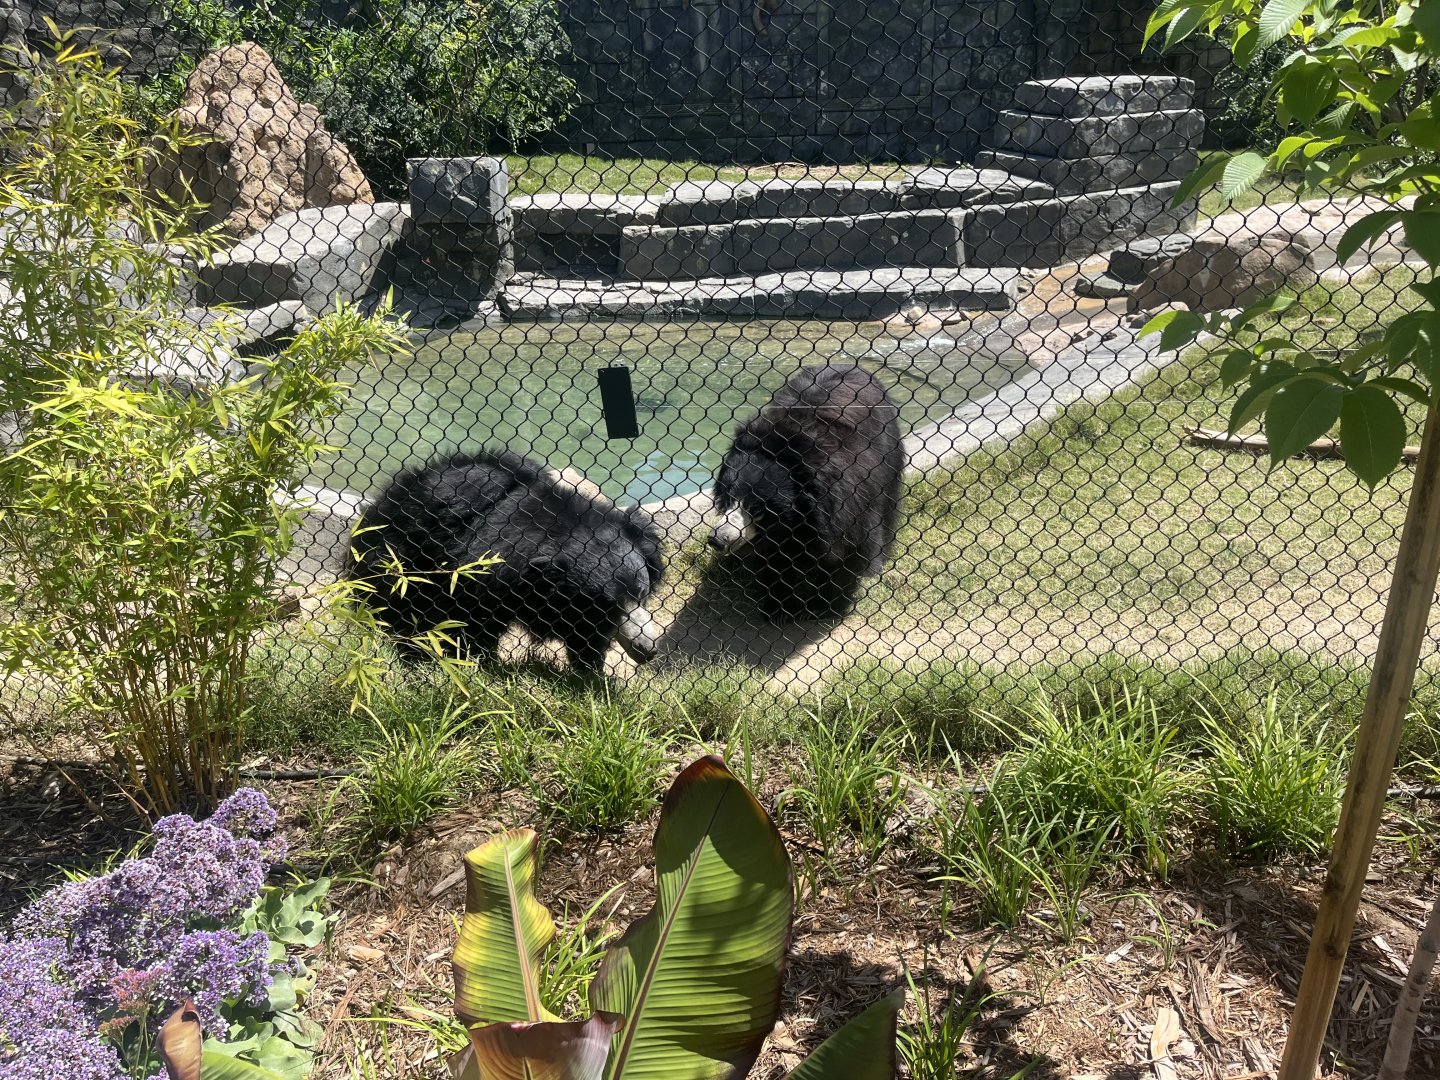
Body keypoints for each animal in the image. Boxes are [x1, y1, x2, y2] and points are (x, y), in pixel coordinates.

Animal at [348, 448, 664, 674]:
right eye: (609, 606)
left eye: (642, 594)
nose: (647, 650)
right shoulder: (481, 576)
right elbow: (475, 622)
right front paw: (478, 661)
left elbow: (582, 634)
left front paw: (591, 671)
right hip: (397, 558)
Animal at [708, 364, 905, 620]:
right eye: (729, 500)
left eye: (756, 509)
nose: (717, 539)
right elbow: (775, 561)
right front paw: (778, 609)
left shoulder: (849, 499)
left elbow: (847, 551)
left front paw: (824, 606)